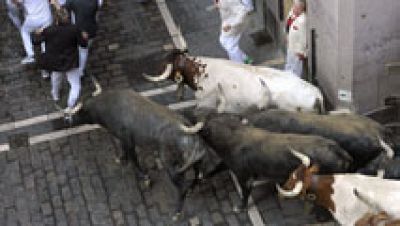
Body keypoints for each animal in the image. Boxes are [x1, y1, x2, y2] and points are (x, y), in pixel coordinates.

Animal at [69, 89, 212, 218]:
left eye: (77, 113)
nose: (67, 120)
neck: (107, 106)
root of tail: (188, 130)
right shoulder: (123, 140)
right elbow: (124, 151)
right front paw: (120, 159)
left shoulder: (128, 141)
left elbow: (134, 160)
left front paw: (146, 178)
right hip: (196, 163)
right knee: (198, 175)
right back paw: (191, 190)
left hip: (172, 168)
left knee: (182, 188)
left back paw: (177, 213)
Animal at [198, 114, 352, 211]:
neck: (234, 137)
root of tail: (338, 150)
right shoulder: (228, 163)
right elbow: (215, 168)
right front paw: (201, 178)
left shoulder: (244, 176)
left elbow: (245, 193)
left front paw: (240, 207)